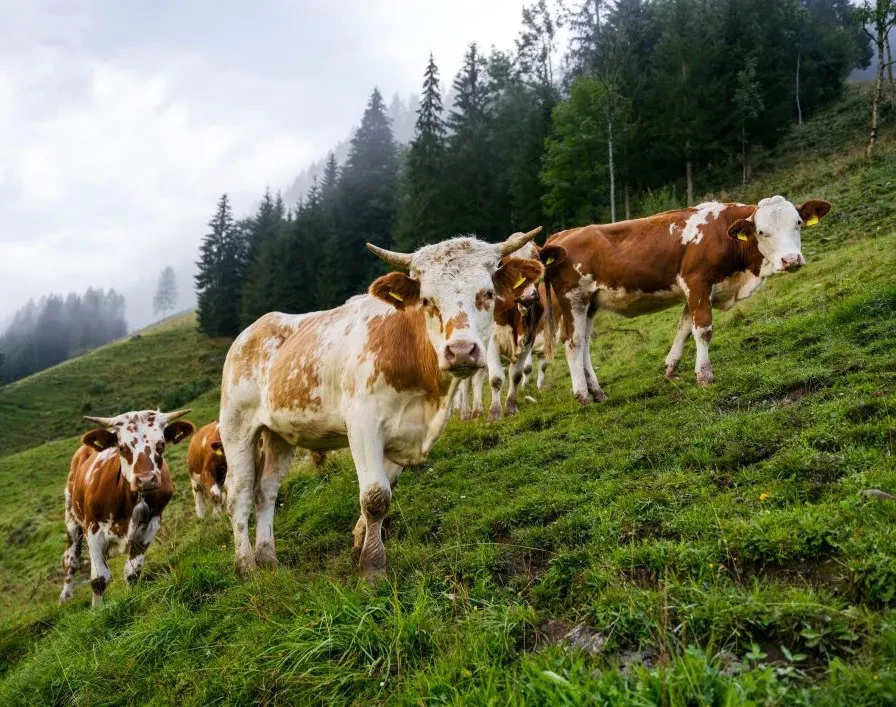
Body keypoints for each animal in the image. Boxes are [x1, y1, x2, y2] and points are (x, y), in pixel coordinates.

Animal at [59, 409, 194, 608]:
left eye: (161, 444)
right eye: (122, 448)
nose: (146, 479)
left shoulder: (150, 527)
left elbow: (132, 573)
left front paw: (133, 599)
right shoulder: (93, 529)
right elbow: (99, 579)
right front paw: (97, 611)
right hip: (72, 518)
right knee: (71, 560)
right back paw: (65, 597)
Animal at [218, 229, 544, 580]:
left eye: (487, 293)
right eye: (426, 301)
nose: (460, 351)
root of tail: (252, 330)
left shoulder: (403, 432)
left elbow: (387, 488)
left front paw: (360, 542)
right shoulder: (363, 425)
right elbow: (375, 496)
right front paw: (372, 567)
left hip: (279, 434)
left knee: (265, 493)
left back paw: (268, 559)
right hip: (236, 426)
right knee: (239, 494)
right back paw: (246, 565)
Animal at [542, 196, 831, 403]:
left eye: (798, 223)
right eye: (761, 232)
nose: (791, 260)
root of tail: (560, 235)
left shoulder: (695, 292)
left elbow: (684, 328)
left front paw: (671, 368)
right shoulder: (697, 283)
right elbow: (702, 330)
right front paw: (704, 375)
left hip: (590, 302)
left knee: (585, 343)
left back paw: (597, 391)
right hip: (573, 299)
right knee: (573, 342)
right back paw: (582, 395)